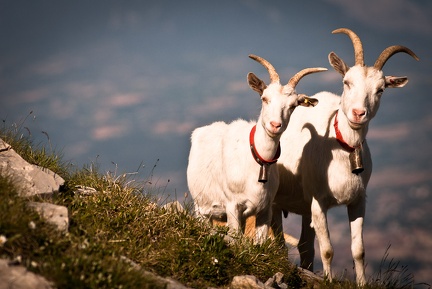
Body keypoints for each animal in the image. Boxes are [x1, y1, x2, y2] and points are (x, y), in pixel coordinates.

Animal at [187, 54, 326, 243]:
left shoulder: (264, 209)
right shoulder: (232, 206)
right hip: (201, 208)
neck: (258, 160)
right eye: (264, 98)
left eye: (293, 105)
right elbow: (235, 239)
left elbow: (259, 243)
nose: (275, 125)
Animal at [274, 28, 418, 284]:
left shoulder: (358, 201)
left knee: (305, 246)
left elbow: (358, 250)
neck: (340, 146)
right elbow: (328, 249)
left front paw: (361, 283)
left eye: (380, 89)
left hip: (304, 207)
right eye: (347, 82)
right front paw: (329, 281)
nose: (358, 113)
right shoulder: (318, 202)